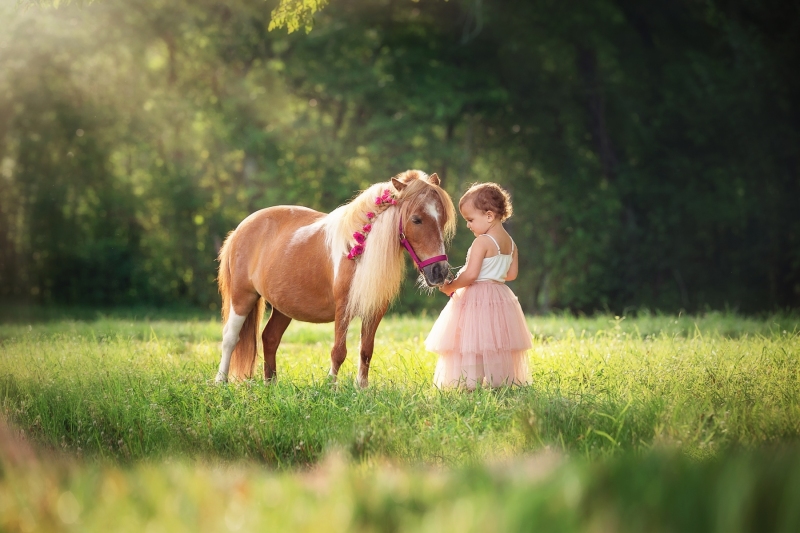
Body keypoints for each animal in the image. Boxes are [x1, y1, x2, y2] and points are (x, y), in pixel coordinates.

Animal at [214, 170, 456, 387]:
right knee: (230, 338)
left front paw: (362, 389)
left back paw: (270, 385)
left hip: (283, 307)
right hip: (242, 297)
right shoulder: (343, 309)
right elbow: (338, 351)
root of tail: (241, 228)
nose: (439, 272)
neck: (359, 251)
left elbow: (366, 350)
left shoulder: (374, 311)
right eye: (416, 219)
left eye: (443, 219)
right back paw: (220, 381)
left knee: (270, 338)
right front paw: (331, 387)